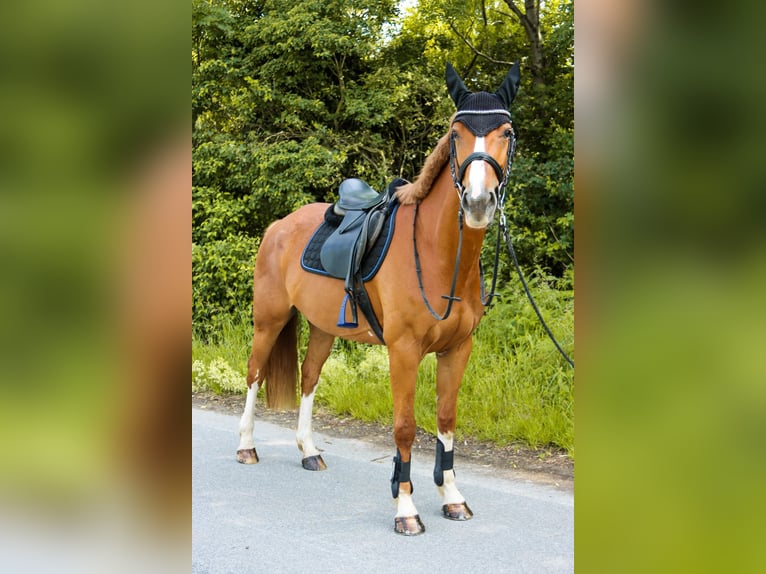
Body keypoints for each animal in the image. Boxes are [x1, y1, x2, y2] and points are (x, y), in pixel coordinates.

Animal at [236, 60, 520, 536]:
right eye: (456, 133)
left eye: (507, 131)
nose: (478, 202)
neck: (437, 254)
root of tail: (279, 225)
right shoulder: (403, 350)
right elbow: (405, 428)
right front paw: (405, 509)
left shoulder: (458, 349)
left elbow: (446, 421)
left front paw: (452, 497)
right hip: (269, 320)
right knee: (255, 373)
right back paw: (246, 447)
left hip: (322, 327)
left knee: (308, 377)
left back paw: (309, 451)